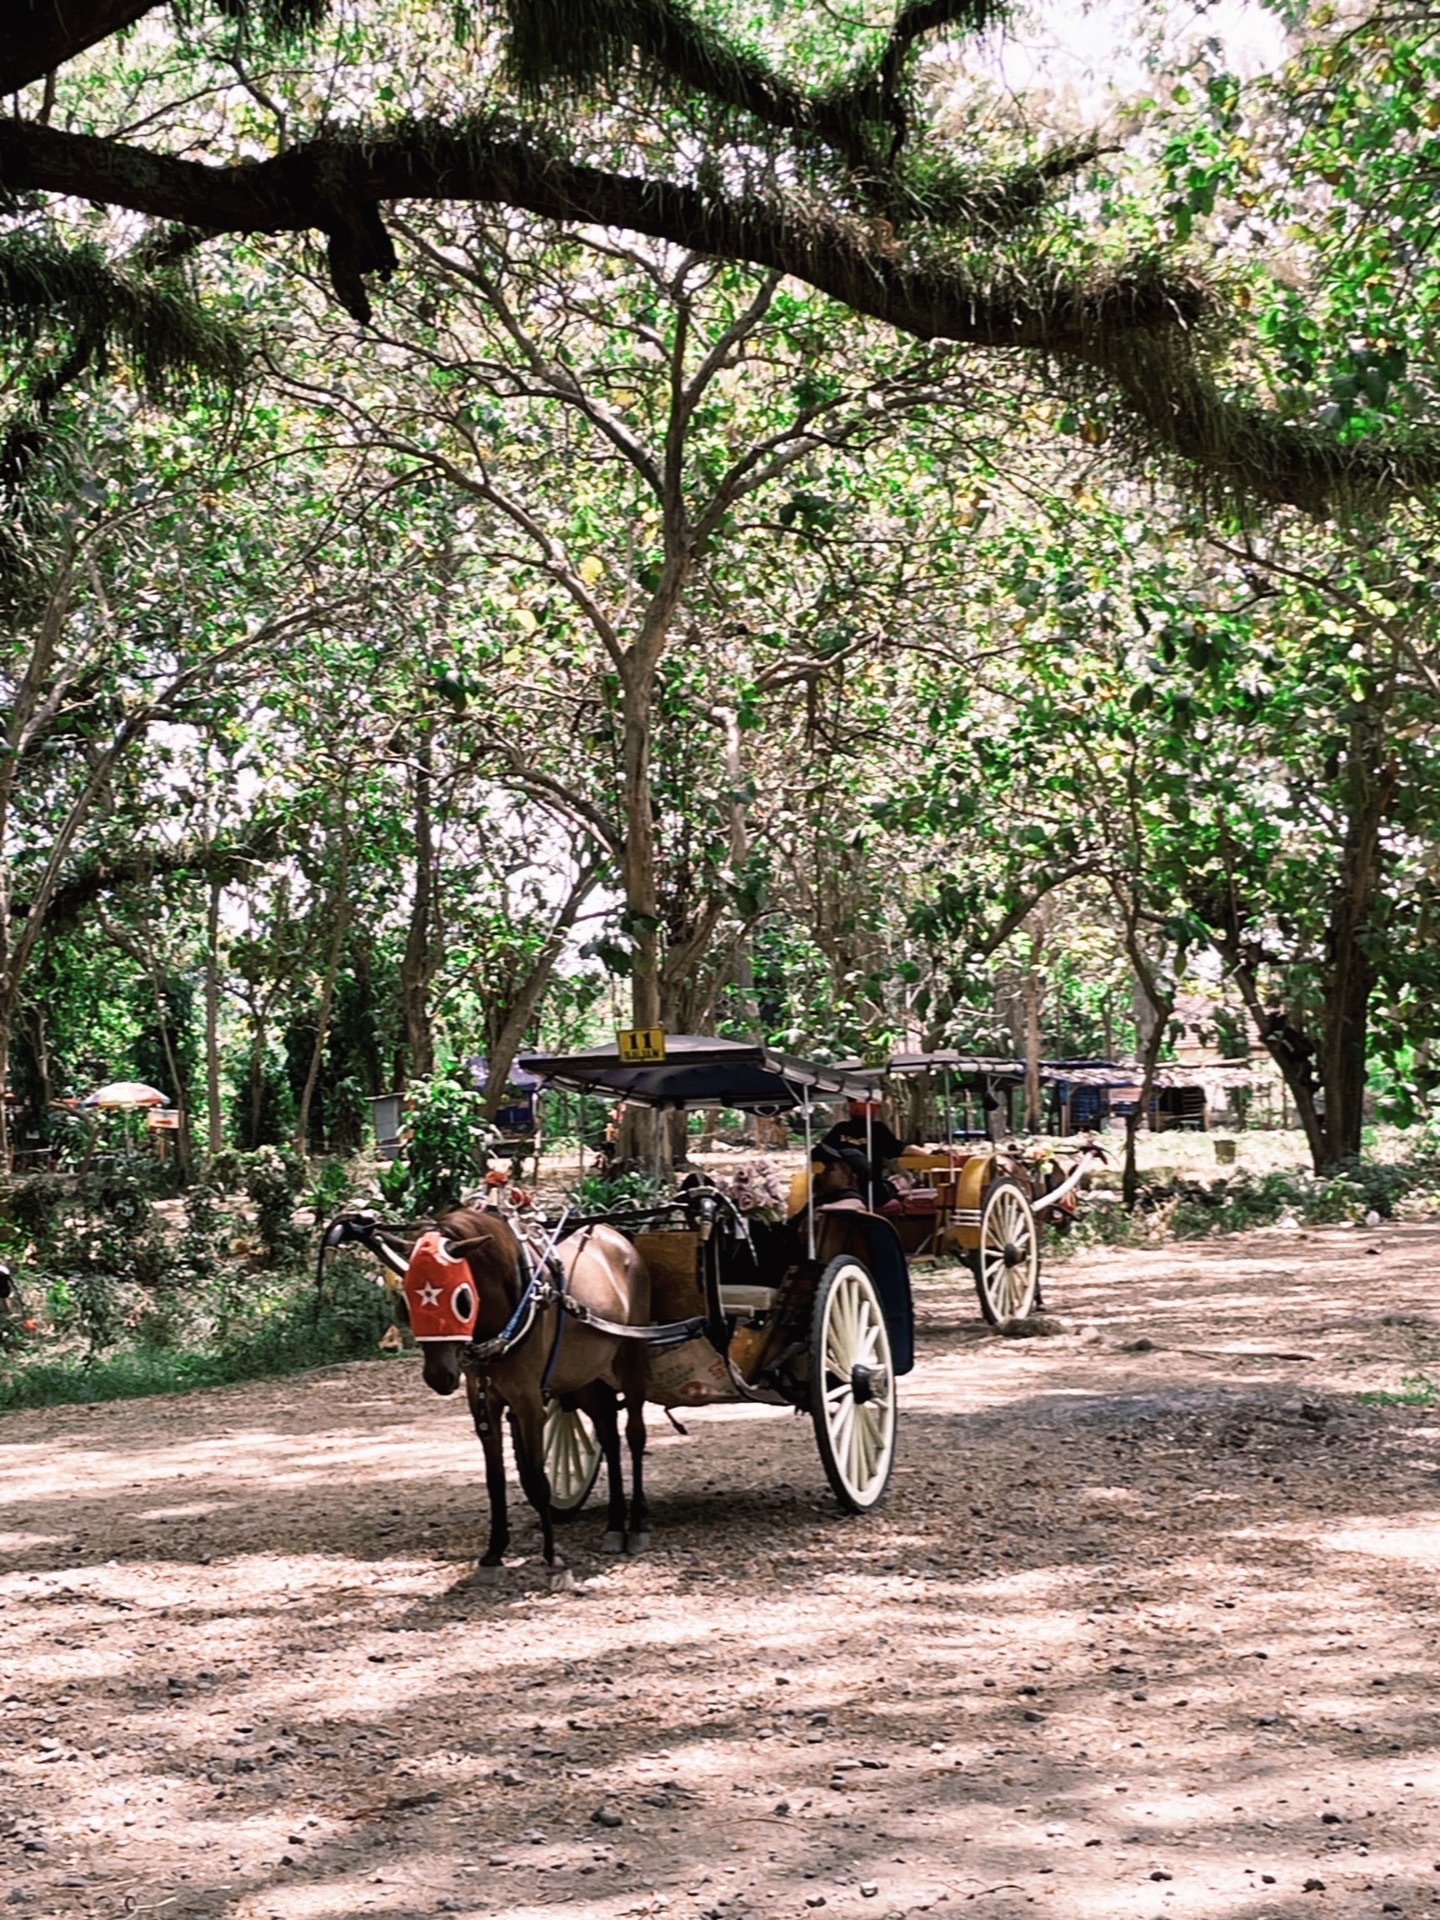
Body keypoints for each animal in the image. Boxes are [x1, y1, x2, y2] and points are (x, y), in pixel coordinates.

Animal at [407, 1205, 652, 1582]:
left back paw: (636, 1524)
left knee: (635, 1435)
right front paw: (494, 1551)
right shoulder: (483, 1402)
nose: (438, 1376)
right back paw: (614, 1525)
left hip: (631, 1356)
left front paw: (551, 1554)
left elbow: (538, 1479)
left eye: (461, 1298)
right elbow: (494, 1479)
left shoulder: (528, 1402)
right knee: (609, 1438)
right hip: (585, 1377)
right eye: (406, 1297)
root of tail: (614, 1234)